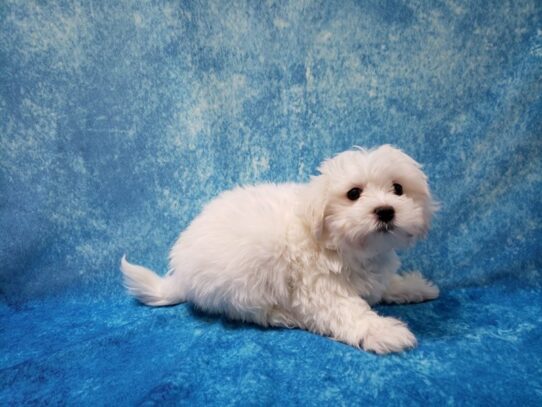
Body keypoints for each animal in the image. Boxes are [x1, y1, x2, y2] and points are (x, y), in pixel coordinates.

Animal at [122, 146, 442, 354]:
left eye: (398, 189)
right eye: (354, 194)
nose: (386, 211)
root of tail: (181, 276)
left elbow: (386, 284)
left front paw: (414, 286)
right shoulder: (320, 290)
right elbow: (350, 312)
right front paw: (385, 331)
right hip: (248, 268)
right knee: (247, 311)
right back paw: (286, 316)